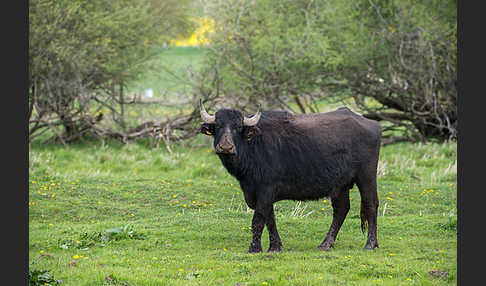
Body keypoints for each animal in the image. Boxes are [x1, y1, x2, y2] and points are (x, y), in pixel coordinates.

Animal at [197, 100, 380, 252]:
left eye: (238, 127)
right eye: (218, 126)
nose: (226, 147)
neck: (254, 146)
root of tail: (373, 124)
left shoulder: (266, 189)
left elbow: (258, 219)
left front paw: (254, 248)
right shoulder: (256, 192)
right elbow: (270, 219)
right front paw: (275, 246)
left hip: (367, 177)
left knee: (371, 205)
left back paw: (370, 244)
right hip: (340, 185)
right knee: (341, 209)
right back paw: (326, 243)